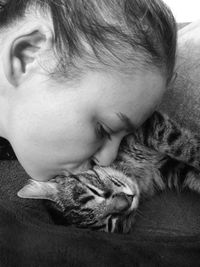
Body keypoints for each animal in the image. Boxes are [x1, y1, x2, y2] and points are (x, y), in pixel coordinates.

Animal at [17, 112, 200, 233]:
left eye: (96, 192)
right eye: (111, 221)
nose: (128, 200)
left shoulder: (148, 126)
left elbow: (185, 147)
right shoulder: (169, 168)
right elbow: (193, 174)